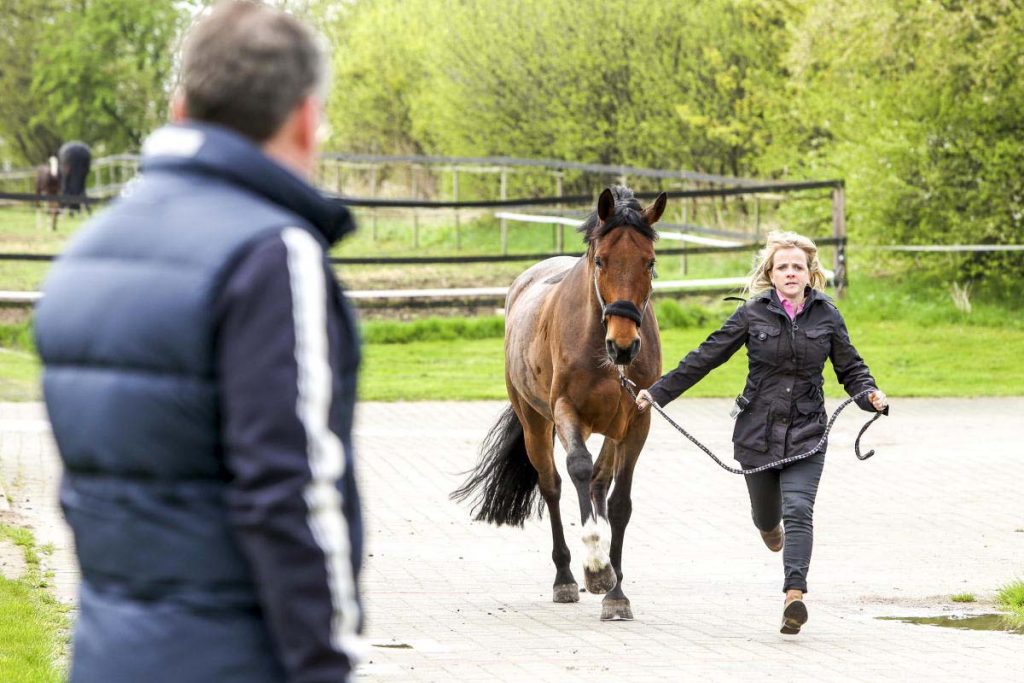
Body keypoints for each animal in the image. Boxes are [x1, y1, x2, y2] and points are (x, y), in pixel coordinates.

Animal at [452, 185, 667, 618]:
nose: (623, 345)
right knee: (552, 484)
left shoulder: (637, 420)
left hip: (613, 428)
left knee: (602, 482)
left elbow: (620, 501)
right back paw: (567, 577)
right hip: (535, 422)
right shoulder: (568, 411)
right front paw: (597, 567)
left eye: (649, 262)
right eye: (601, 260)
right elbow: (578, 468)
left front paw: (616, 592)